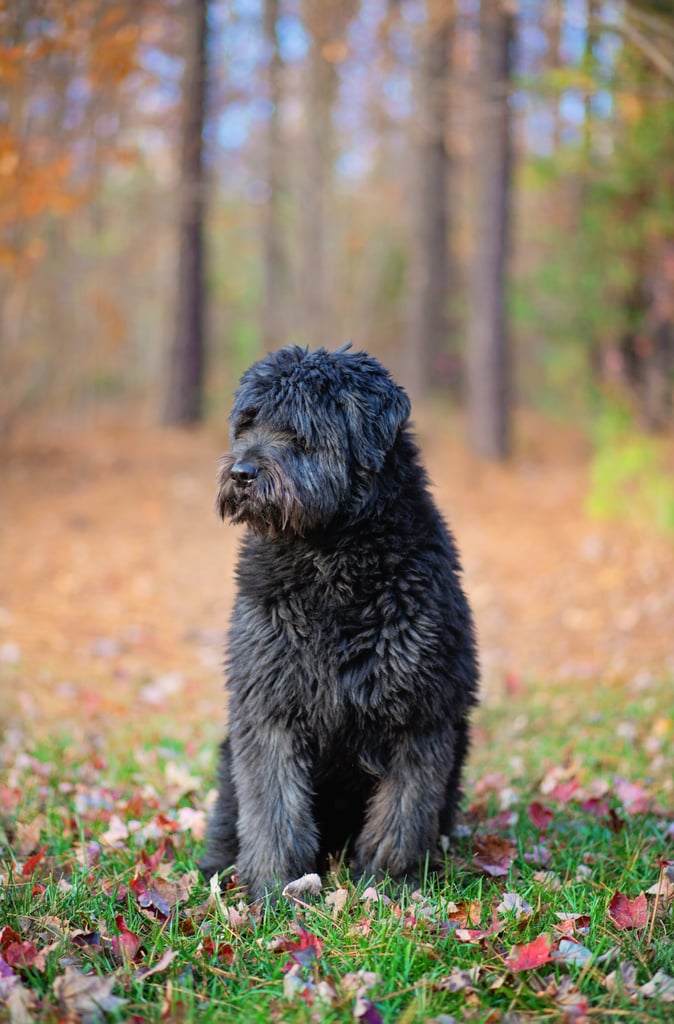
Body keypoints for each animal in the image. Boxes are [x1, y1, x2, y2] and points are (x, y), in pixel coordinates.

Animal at [200, 348, 477, 901]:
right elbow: (273, 810)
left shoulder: (420, 712)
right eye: (248, 422)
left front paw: (388, 887)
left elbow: (400, 815)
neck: (329, 563)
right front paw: (273, 889)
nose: (241, 472)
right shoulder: (269, 704)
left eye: (297, 428)